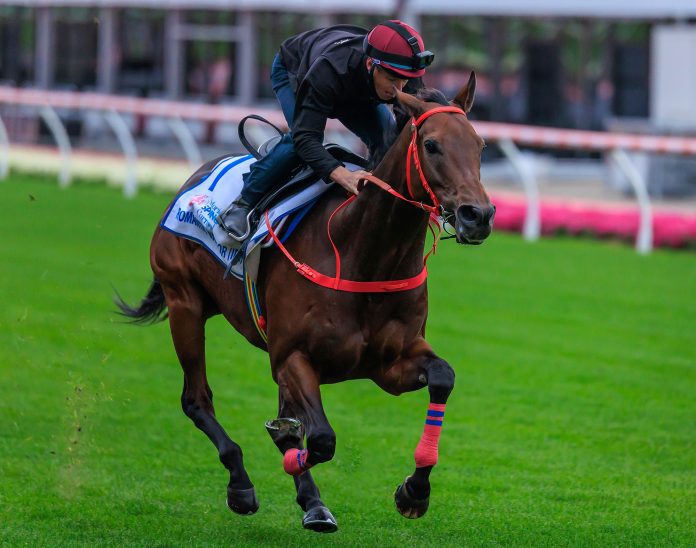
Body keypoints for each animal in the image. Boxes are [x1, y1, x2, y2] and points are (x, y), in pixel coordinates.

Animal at [115, 75, 494, 532]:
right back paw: (242, 485)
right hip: (184, 302)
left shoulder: (390, 365)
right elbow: (321, 438)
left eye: (480, 146)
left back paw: (309, 497)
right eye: (432, 145)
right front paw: (288, 460)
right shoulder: (292, 356)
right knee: (196, 399)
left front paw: (414, 491)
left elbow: (442, 377)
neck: (360, 253)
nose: (479, 215)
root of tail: (196, 175)